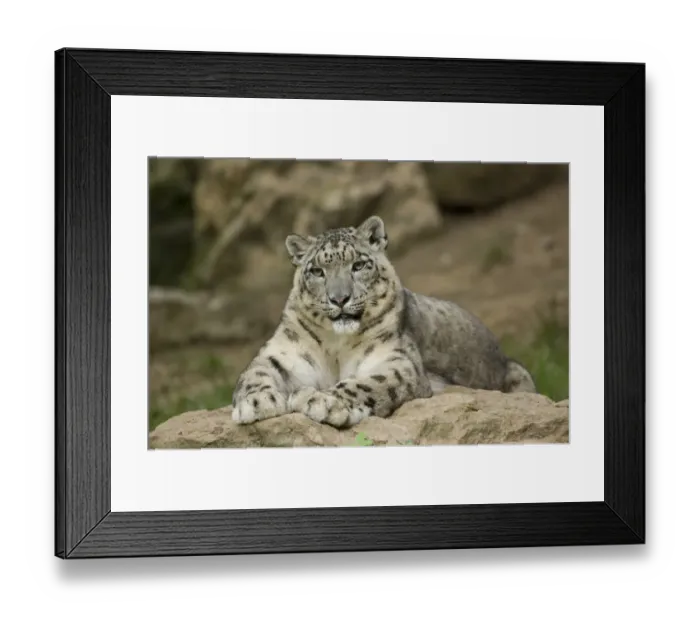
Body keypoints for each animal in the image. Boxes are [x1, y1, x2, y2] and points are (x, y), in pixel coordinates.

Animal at [231, 215, 537, 429]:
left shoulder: (397, 361)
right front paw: (257, 402)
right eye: (317, 271)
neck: (335, 345)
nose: (339, 299)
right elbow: (255, 372)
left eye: (358, 265)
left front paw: (322, 400)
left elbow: (367, 383)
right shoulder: (284, 353)